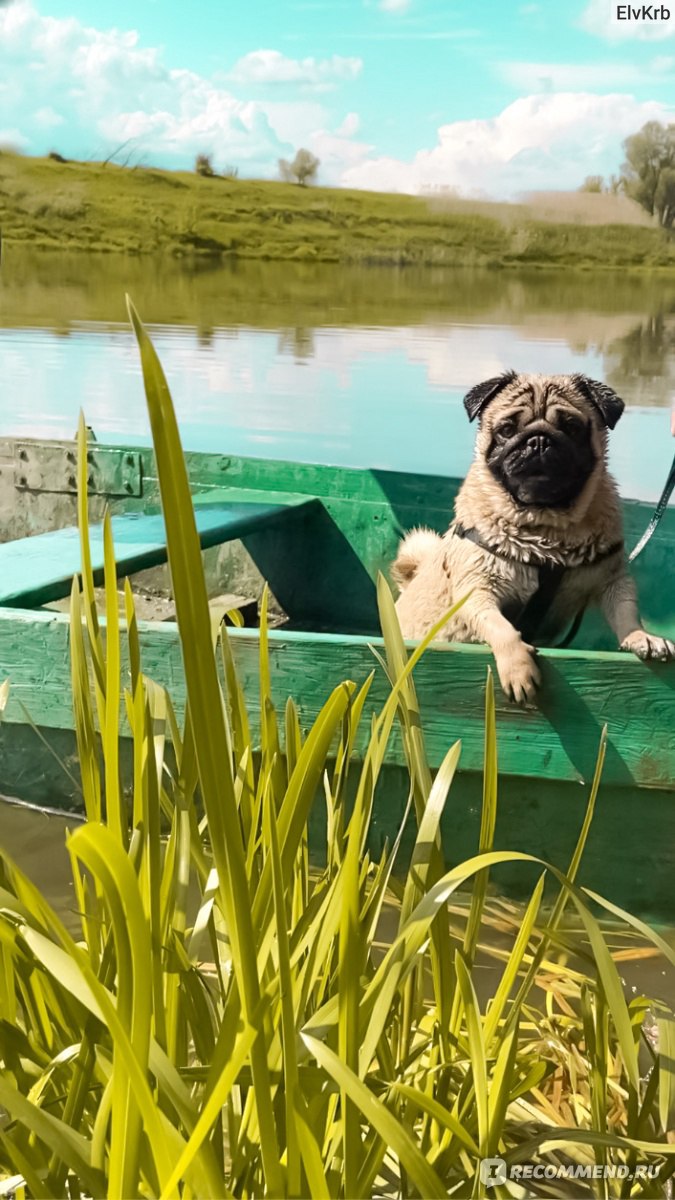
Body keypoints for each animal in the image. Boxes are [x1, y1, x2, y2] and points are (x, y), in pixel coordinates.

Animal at [391, 369, 667, 700]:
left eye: (571, 427)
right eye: (507, 429)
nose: (538, 440)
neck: (546, 525)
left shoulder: (613, 581)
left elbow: (626, 612)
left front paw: (641, 637)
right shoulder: (477, 590)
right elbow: (502, 628)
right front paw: (518, 669)